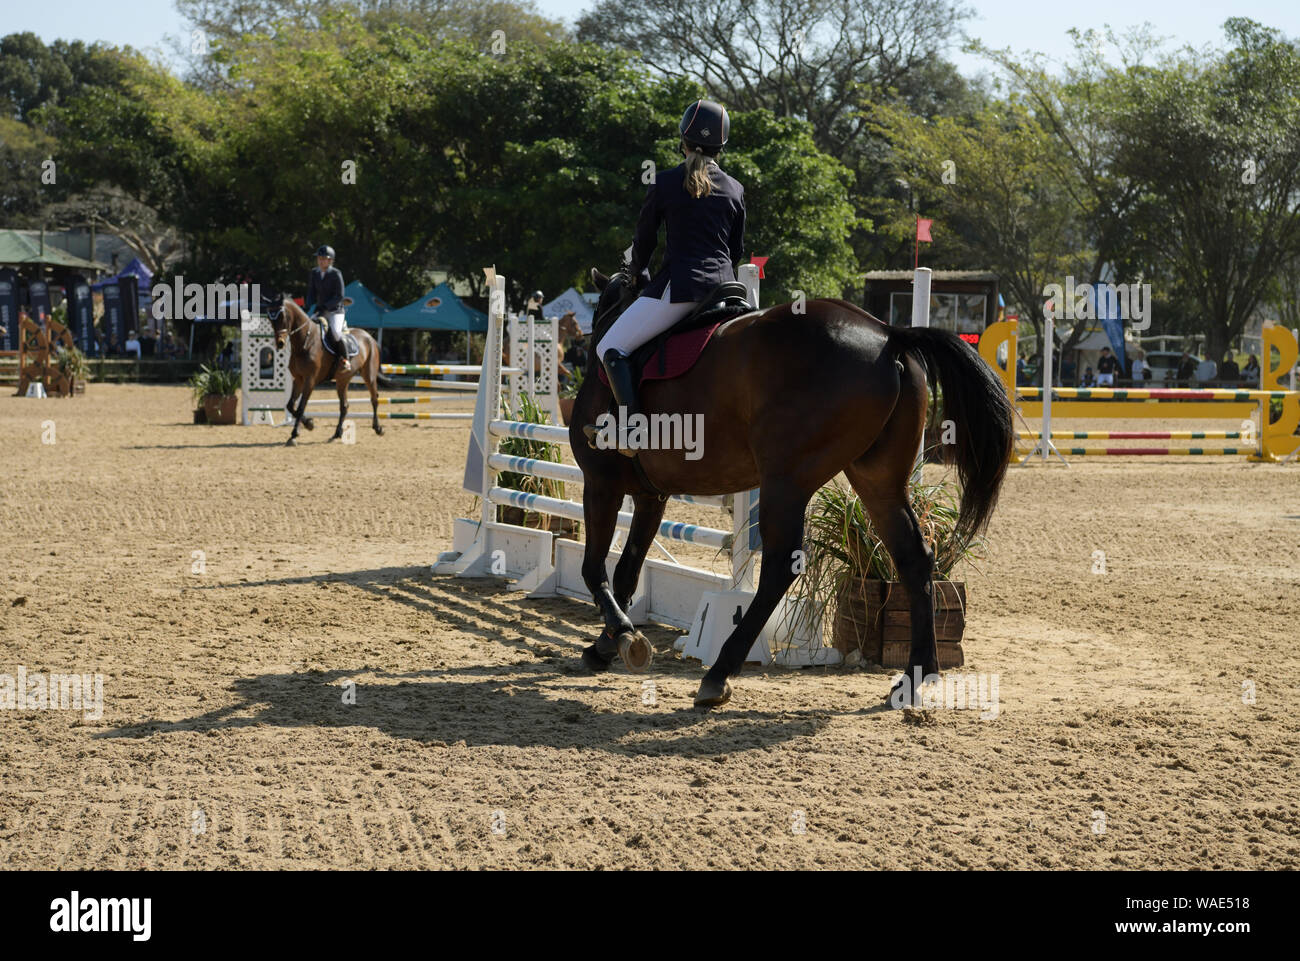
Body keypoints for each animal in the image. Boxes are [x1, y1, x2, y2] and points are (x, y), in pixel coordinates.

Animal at [264, 296, 383, 445]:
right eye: (270, 318)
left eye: (283, 316)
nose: (280, 343)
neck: (305, 342)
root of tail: (369, 337)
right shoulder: (298, 379)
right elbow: (291, 406)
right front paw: (309, 424)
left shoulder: (310, 380)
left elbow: (301, 406)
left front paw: (296, 432)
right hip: (342, 380)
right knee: (344, 406)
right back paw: (337, 433)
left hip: (369, 375)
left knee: (374, 399)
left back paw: (378, 428)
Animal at [570, 268, 1015, 708]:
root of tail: (889, 335)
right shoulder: (651, 495)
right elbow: (626, 574)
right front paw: (609, 644)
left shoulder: (601, 484)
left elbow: (593, 569)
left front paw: (620, 635)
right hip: (877, 481)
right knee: (913, 557)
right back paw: (917, 677)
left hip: (786, 481)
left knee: (780, 566)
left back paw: (718, 674)